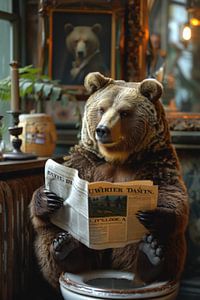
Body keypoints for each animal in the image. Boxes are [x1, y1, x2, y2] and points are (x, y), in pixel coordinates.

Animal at [28, 72, 188, 290]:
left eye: (124, 112)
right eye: (101, 108)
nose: (102, 129)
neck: (117, 159)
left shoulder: (157, 162)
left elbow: (173, 195)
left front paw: (152, 214)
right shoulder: (86, 163)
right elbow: (42, 208)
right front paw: (47, 198)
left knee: (164, 239)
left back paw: (151, 258)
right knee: (50, 232)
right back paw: (66, 251)